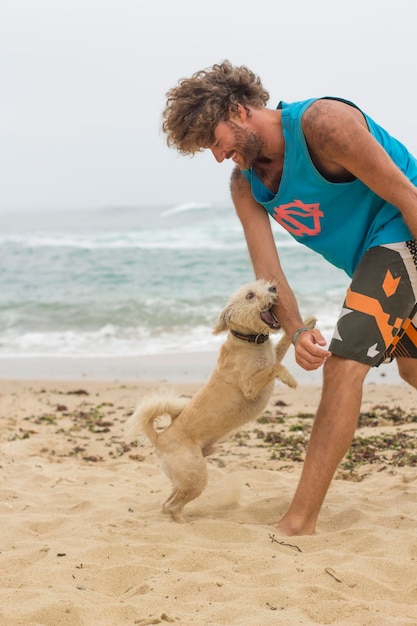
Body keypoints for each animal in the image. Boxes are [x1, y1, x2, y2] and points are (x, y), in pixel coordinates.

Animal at [128, 280, 314, 520]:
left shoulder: (274, 354)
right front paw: (290, 379)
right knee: (172, 506)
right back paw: (184, 522)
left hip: (183, 480)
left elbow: (281, 347)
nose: (273, 288)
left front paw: (308, 323)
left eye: (262, 285)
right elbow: (275, 367)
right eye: (250, 295)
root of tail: (160, 438)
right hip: (196, 478)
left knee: (166, 503)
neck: (249, 341)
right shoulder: (250, 386)